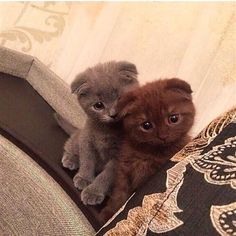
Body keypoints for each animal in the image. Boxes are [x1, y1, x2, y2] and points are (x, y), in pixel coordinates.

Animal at [56, 60, 139, 205]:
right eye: (98, 105)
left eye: (121, 98)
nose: (113, 114)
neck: (107, 131)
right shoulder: (87, 141)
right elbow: (87, 161)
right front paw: (84, 178)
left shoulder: (119, 157)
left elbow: (106, 175)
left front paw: (93, 192)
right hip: (79, 137)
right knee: (70, 144)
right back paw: (71, 158)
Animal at [99, 78, 195, 223]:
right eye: (146, 125)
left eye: (173, 118)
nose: (163, 136)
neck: (148, 153)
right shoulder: (124, 171)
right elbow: (119, 195)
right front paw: (108, 214)